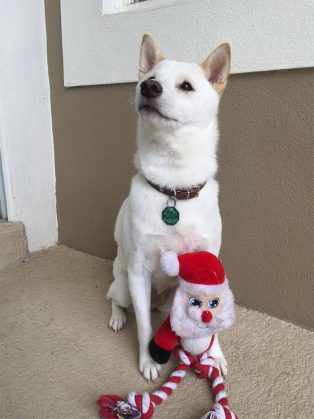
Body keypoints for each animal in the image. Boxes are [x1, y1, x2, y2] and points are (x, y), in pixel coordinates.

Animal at [108, 36, 231, 382]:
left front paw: (214, 354)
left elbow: (214, 316)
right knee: (119, 301)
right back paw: (118, 317)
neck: (174, 188)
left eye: (186, 86)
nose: (148, 87)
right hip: (125, 285)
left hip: (167, 300)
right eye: (150, 77)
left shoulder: (209, 266)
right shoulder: (139, 272)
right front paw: (149, 360)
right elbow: (144, 327)